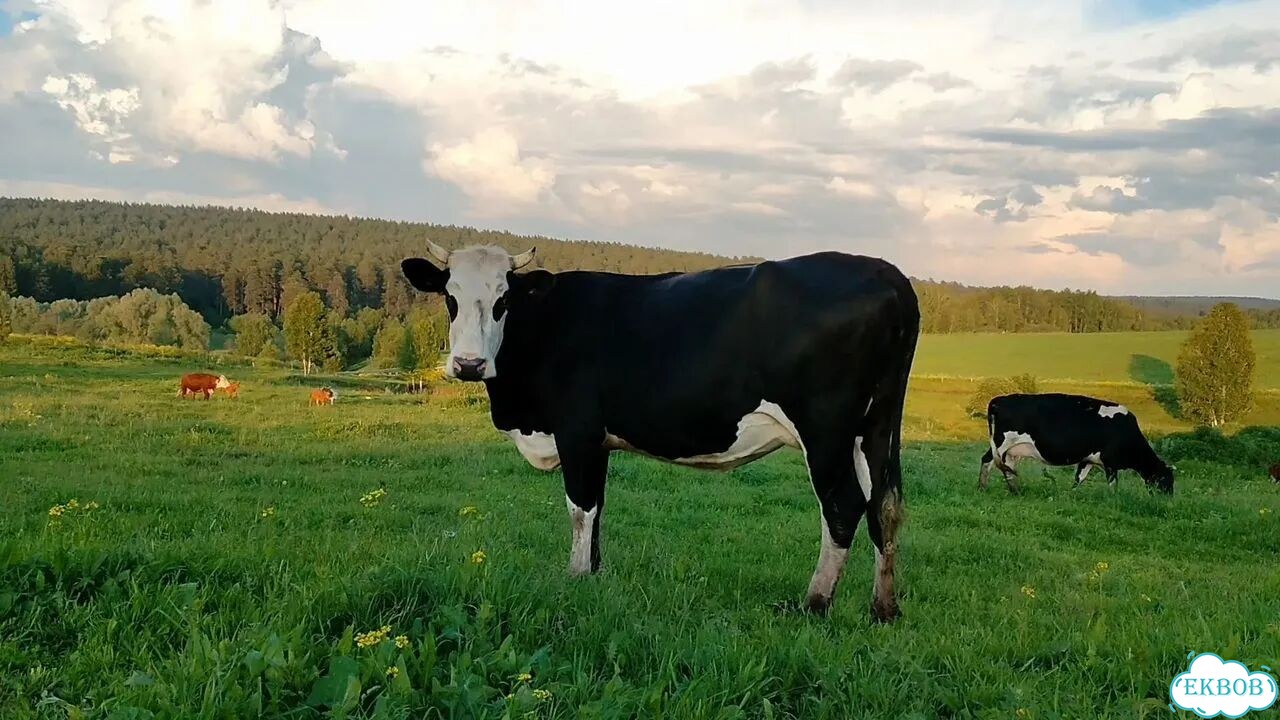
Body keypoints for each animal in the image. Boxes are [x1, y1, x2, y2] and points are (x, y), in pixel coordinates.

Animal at [401, 242, 919, 621]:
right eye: (449, 297)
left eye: (503, 299)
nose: (469, 365)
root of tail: (884, 272)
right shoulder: (599, 441)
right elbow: (598, 509)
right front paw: (595, 573)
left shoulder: (576, 431)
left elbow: (580, 509)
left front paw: (575, 578)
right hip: (876, 426)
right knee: (886, 505)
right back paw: (884, 608)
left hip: (826, 429)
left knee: (844, 506)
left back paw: (813, 604)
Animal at [978, 393, 1174, 494]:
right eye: (1166, 481)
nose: (1168, 500)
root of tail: (999, 400)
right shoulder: (1110, 462)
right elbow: (1112, 484)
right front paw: (1114, 498)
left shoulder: (1087, 459)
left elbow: (1079, 478)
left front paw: (1071, 495)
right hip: (1002, 442)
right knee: (988, 461)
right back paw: (983, 488)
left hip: (1010, 450)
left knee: (1006, 468)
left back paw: (1015, 490)